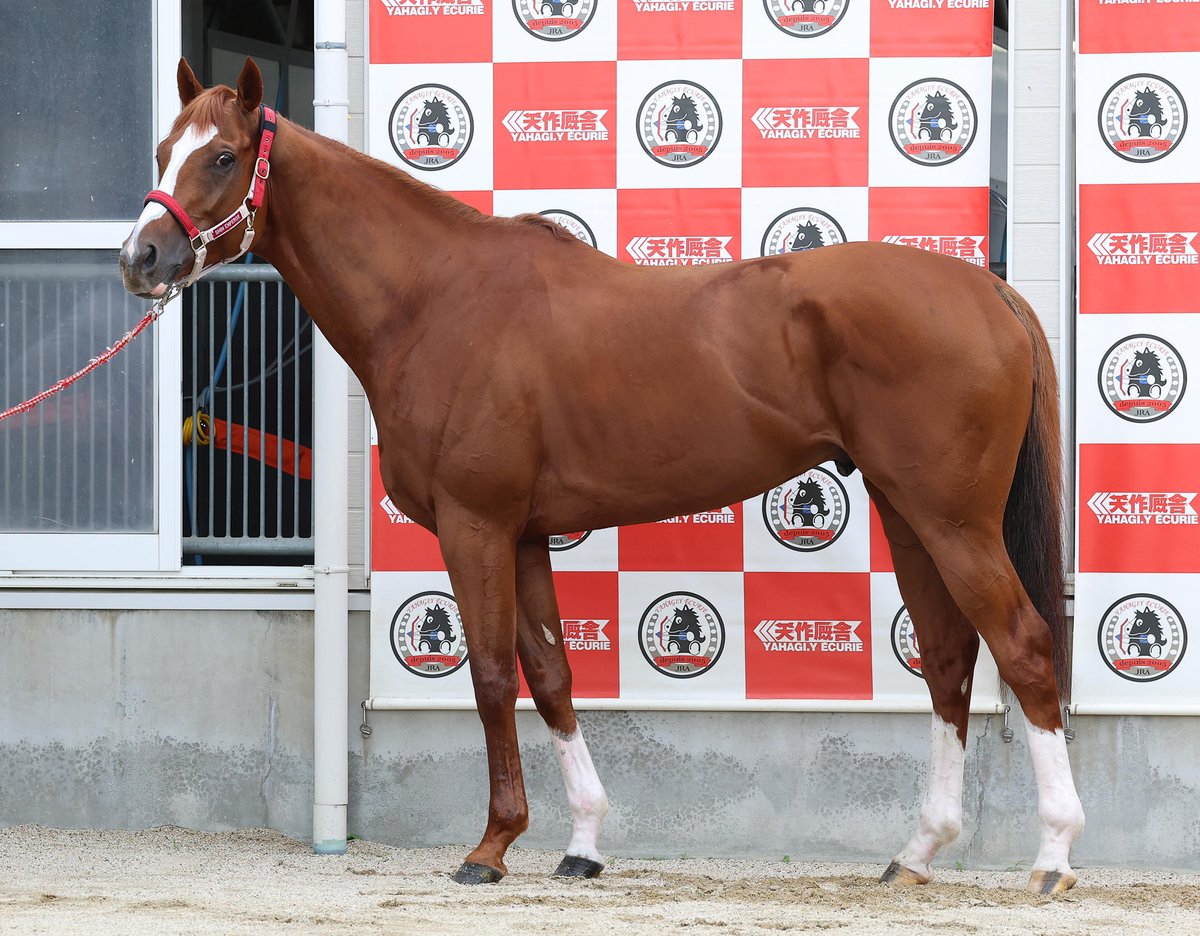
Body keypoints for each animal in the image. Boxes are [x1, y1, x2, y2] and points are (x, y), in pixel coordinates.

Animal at [119, 57, 1084, 893]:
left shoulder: (475, 525)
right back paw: (916, 854)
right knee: (951, 660)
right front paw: (580, 844)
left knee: (1024, 646)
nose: (141, 259)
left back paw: (1053, 856)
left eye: (222, 155)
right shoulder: (525, 535)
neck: (437, 300)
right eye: (162, 149)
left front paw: (490, 847)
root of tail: (987, 290)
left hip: (953, 520)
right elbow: (551, 675)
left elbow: (491, 674)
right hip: (909, 512)